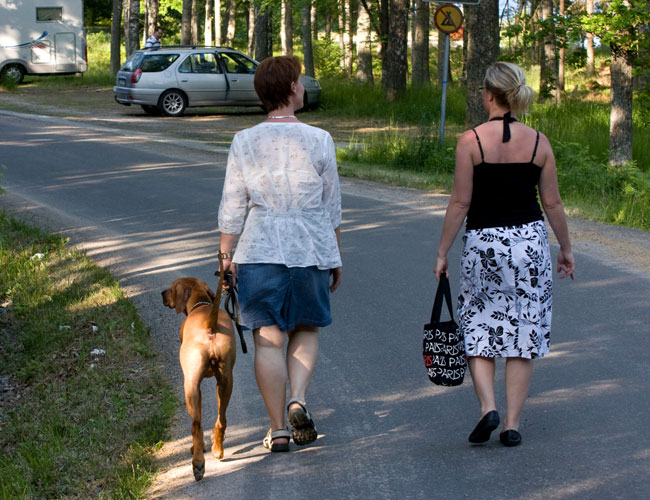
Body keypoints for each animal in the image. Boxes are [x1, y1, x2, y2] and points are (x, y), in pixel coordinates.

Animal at [160, 278, 235, 480]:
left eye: (171, 288)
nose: (162, 294)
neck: (201, 304)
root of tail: (210, 325)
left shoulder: (195, 385)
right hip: (226, 381)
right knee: (221, 420)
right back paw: (217, 449)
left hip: (190, 386)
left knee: (196, 426)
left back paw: (198, 462)